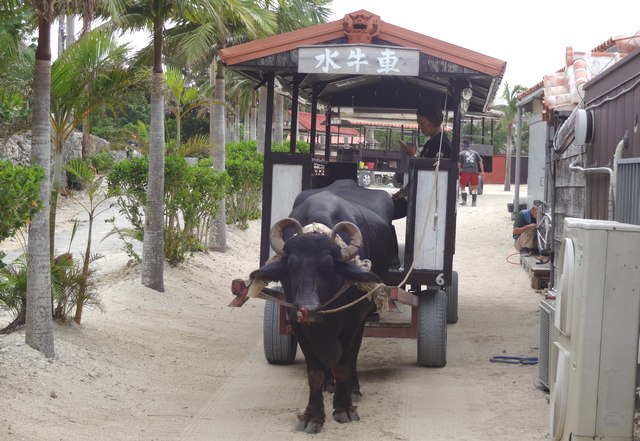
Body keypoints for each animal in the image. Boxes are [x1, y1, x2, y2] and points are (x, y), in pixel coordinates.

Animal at [249, 177, 396, 432]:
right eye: (292, 265)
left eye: (328, 266)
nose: (308, 308)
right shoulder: (298, 323)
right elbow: (315, 372)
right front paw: (313, 416)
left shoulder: (352, 320)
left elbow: (343, 363)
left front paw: (344, 408)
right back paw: (330, 384)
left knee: (353, 353)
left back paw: (353, 389)